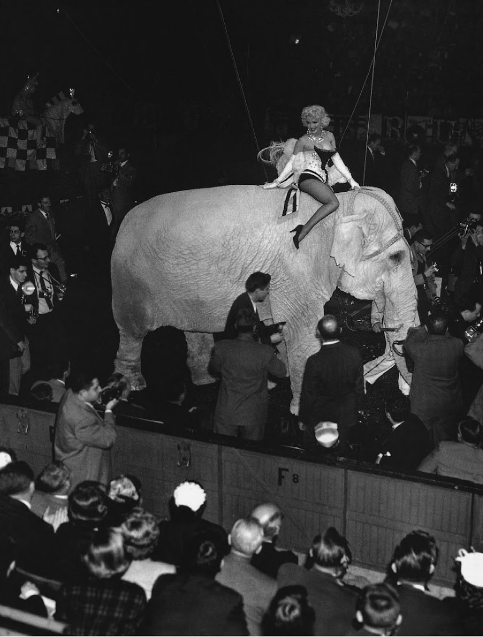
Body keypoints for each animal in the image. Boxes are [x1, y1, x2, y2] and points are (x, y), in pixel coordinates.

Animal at [111, 184, 418, 412]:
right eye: (396, 257)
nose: (367, 379)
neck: (338, 209)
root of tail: (123, 223)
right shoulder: (298, 272)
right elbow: (305, 336)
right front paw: (304, 412)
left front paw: (274, 378)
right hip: (131, 281)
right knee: (132, 332)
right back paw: (133, 385)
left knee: (194, 328)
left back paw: (206, 380)